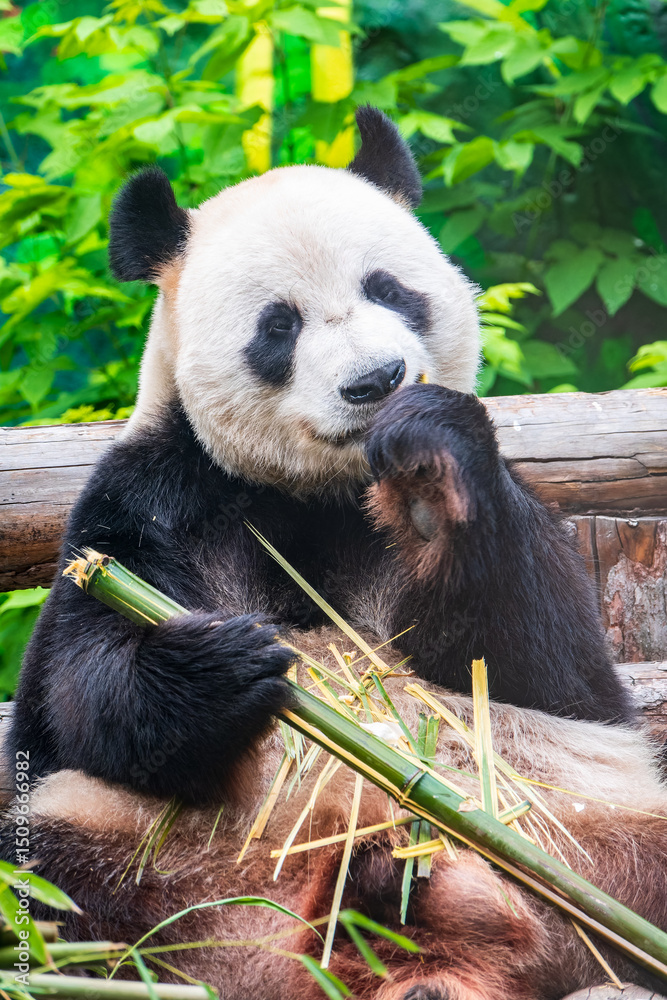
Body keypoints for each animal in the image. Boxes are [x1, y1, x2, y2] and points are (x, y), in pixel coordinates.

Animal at [3, 106, 666, 1000]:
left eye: (387, 289)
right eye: (278, 325)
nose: (376, 381)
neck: (315, 492)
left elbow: (537, 660)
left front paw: (429, 474)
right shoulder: (148, 501)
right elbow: (79, 685)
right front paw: (223, 665)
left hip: (592, 829)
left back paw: (398, 901)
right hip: (125, 843)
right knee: (53, 888)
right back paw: (373, 900)